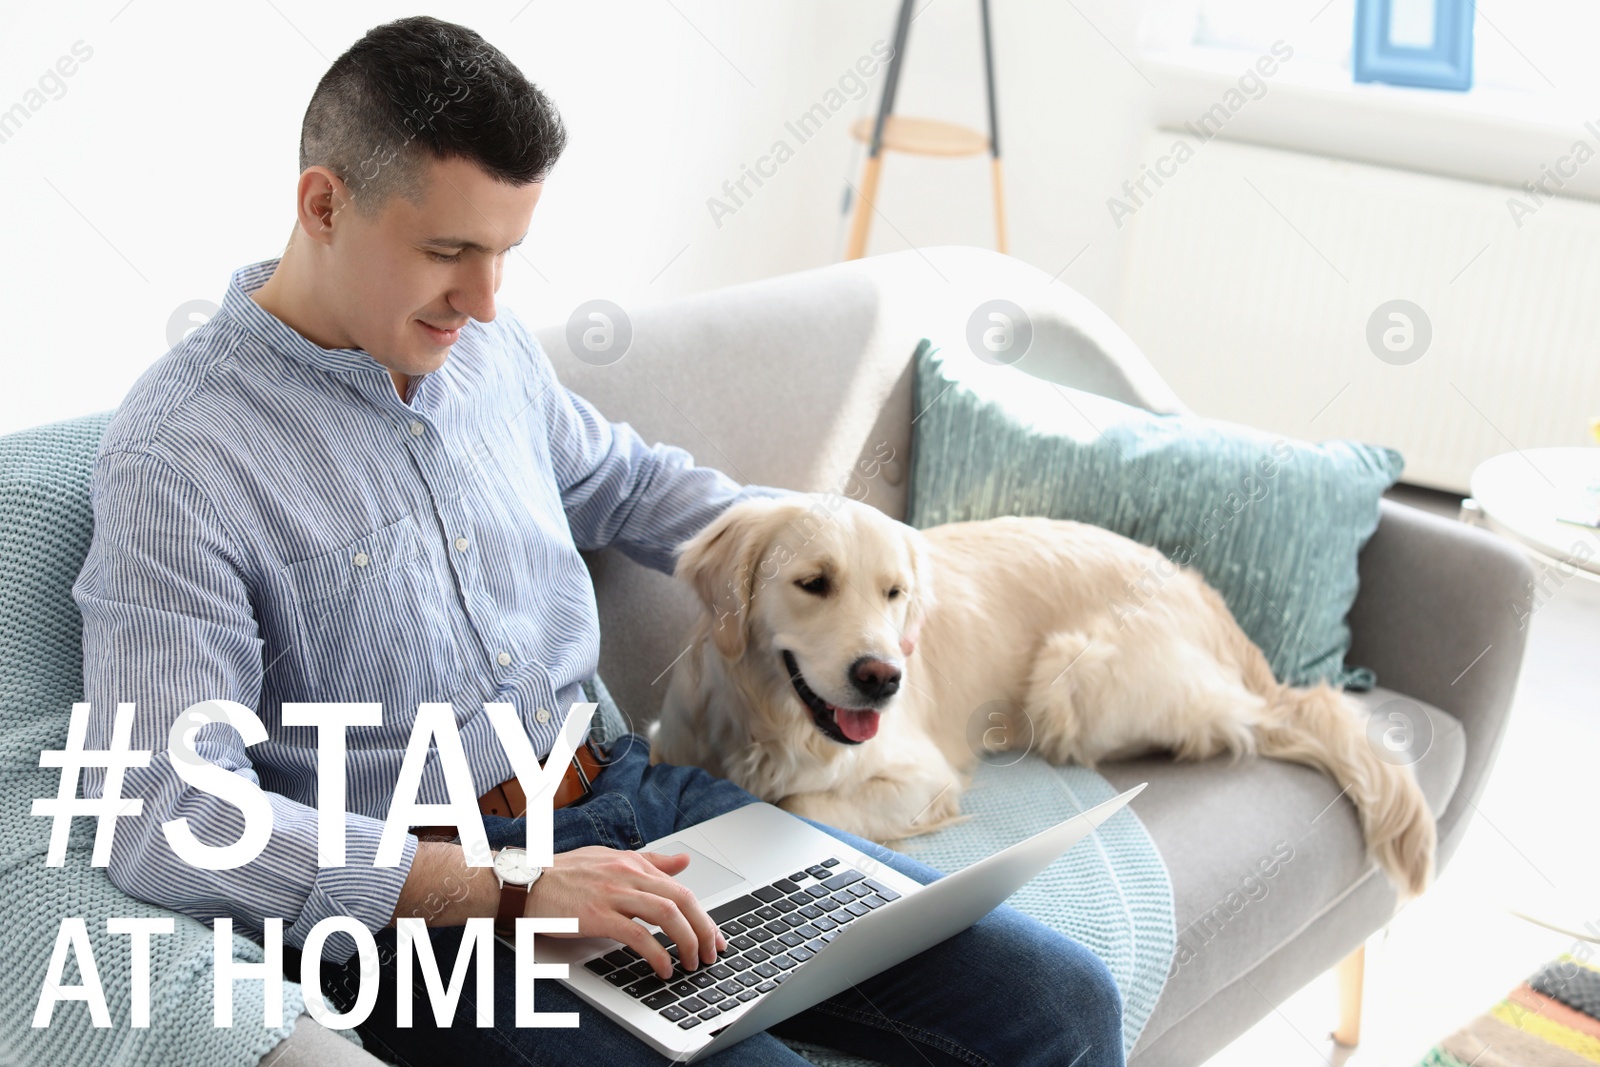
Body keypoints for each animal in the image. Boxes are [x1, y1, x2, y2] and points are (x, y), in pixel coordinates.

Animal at [649, 495, 1440, 895]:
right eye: (813, 582)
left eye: (894, 593)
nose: (884, 678)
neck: (768, 718)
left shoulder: (924, 775)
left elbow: (797, 801)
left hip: (1074, 674)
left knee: (1249, 722)